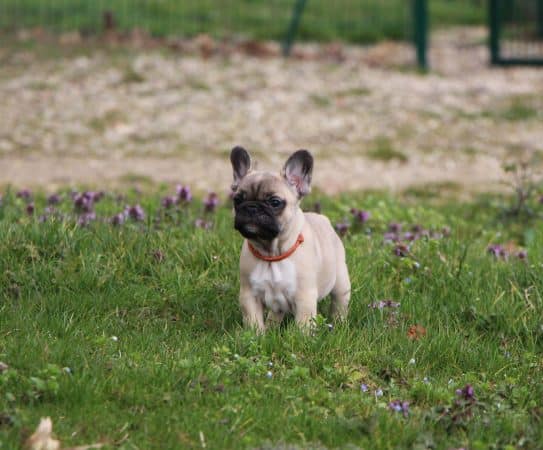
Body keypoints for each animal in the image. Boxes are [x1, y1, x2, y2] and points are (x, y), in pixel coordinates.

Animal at [231, 146, 352, 332]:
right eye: (237, 200)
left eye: (274, 202)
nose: (251, 207)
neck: (272, 254)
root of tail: (321, 218)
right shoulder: (248, 295)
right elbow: (253, 321)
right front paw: (255, 335)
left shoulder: (304, 297)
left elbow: (303, 325)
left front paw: (301, 337)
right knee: (276, 313)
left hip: (340, 281)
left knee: (339, 303)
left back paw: (339, 323)